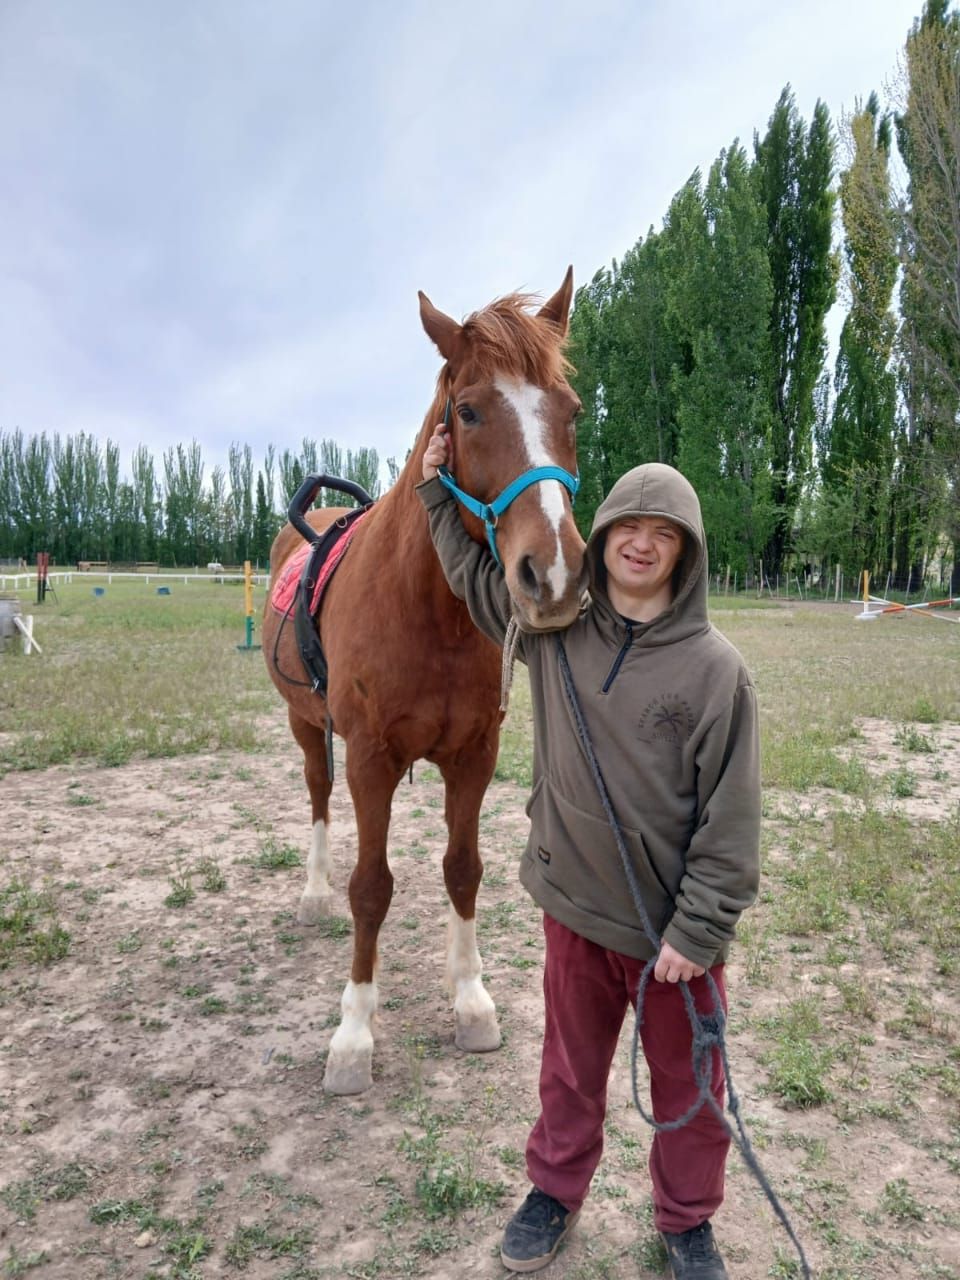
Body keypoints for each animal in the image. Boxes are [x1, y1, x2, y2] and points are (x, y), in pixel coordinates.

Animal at [261, 269, 586, 1095]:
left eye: (570, 410)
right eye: (467, 411)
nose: (554, 575)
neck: (427, 609)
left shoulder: (473, 757)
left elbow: (463, 870)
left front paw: (471, 1001)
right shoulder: (371, 760)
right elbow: (371, 889)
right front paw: (352, 1037)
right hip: (308, 729)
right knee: (318, 798)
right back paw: (312, 895)